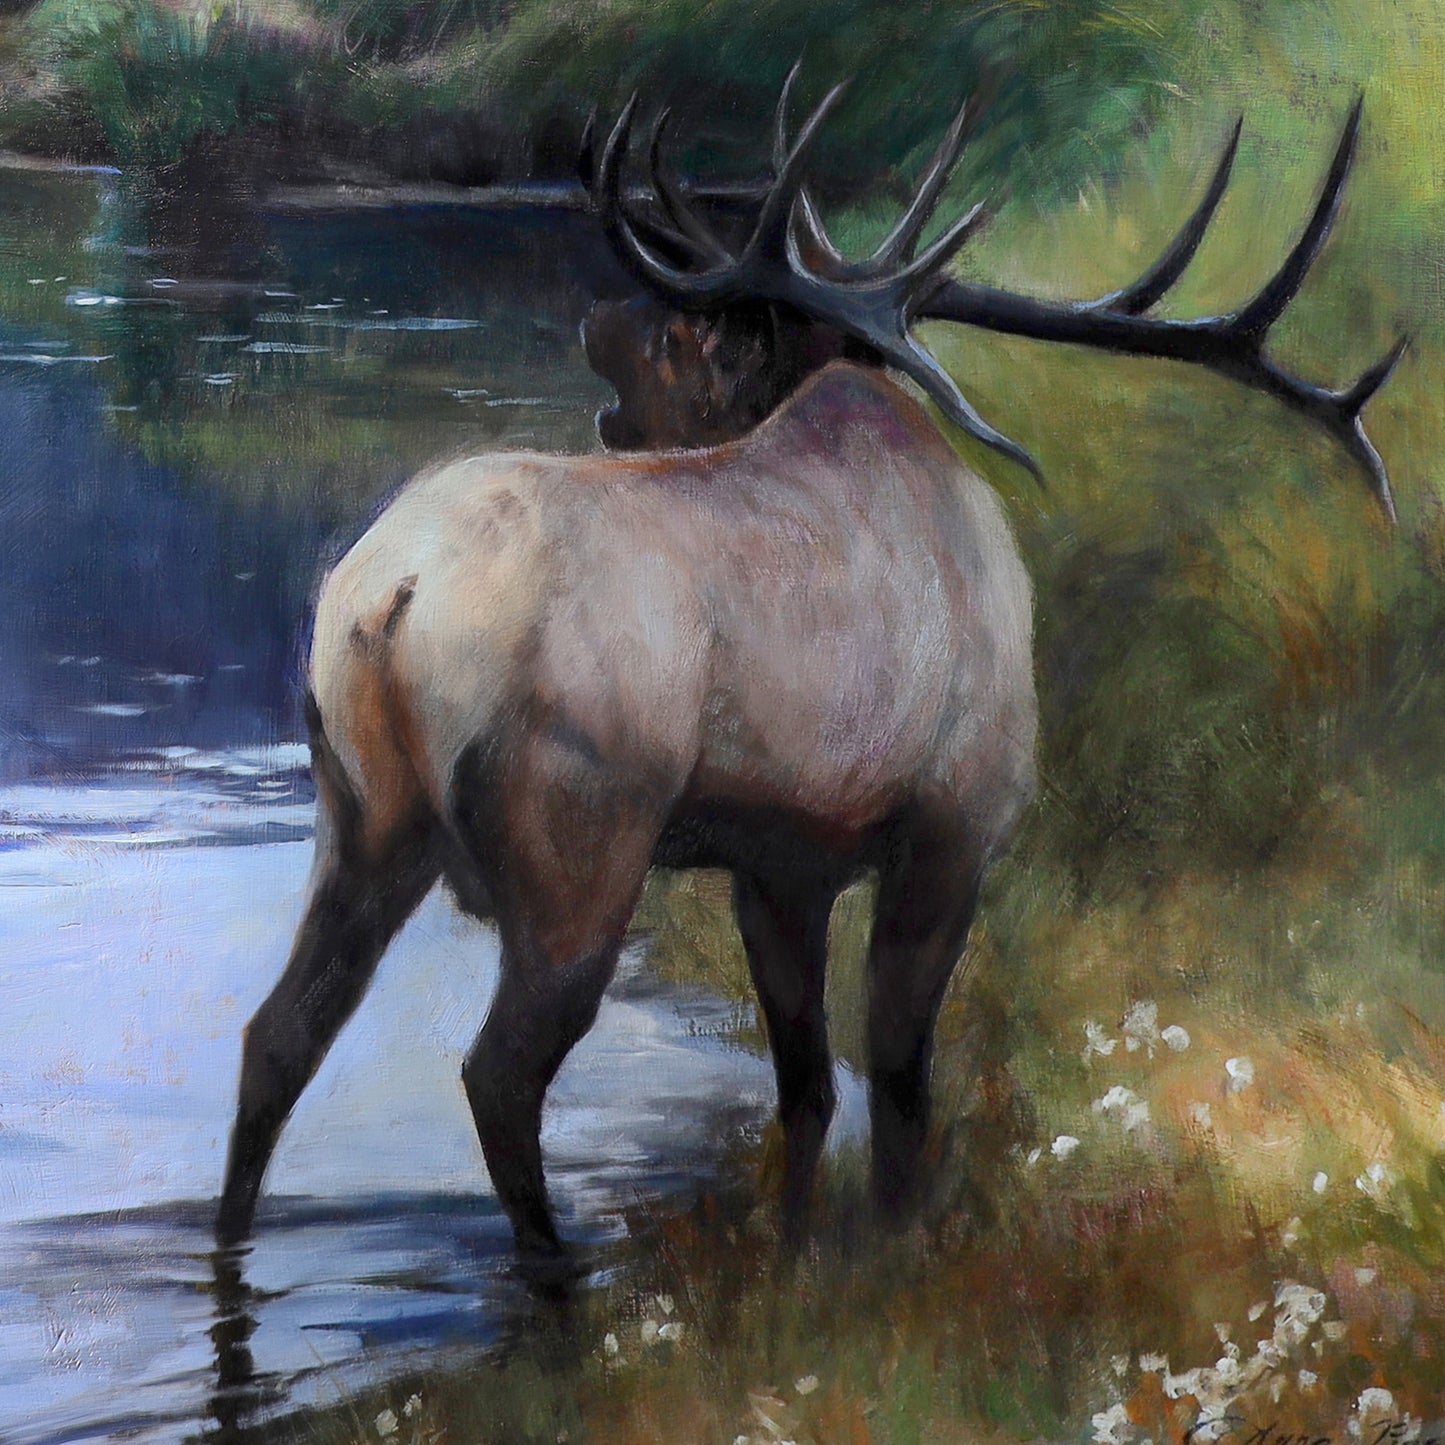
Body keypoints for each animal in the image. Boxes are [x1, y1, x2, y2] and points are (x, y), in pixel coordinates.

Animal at [216, 71, 1403, 1261]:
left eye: (688, 324)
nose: (597, 317)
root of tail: (388, 597)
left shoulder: (779, 862)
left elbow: (808, 1086)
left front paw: (796, 1252)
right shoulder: (954, 822)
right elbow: (897, 1079)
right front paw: (895, 1245)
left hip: (366, 816)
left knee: (280, 1033)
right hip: (580, 831)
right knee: (497, 1072)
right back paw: (555, 1273)